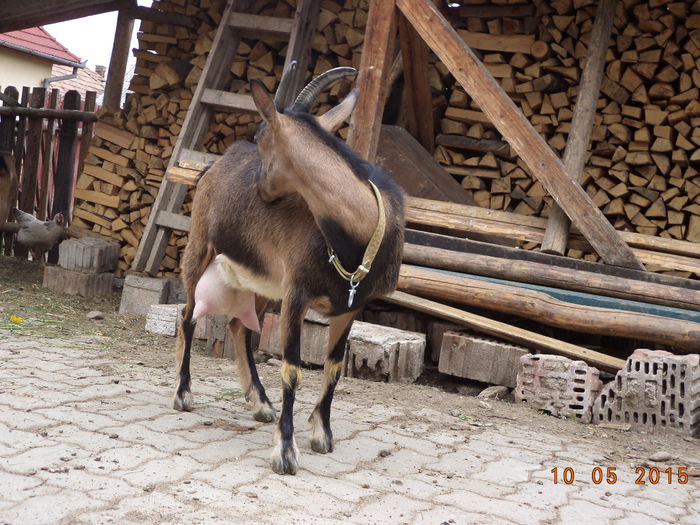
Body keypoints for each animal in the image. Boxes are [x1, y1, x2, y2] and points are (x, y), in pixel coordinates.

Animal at [174, 66, 404, 474]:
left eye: (261, 136)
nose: (258, 188)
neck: (356, 237)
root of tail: (213, 166)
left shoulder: (351, 305)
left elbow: (334, 366)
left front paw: (321, 433)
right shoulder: (297, 293)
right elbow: (292, 369)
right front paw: (285, 450)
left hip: (263, 283)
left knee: (239, 327)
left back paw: (261, 403)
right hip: (201, 242)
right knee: (187, 314)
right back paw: (184, 393)